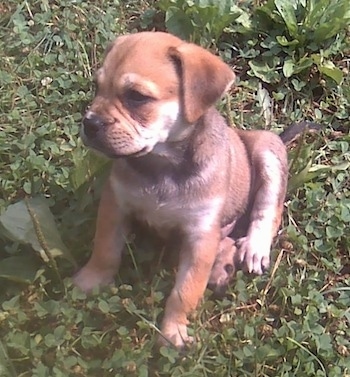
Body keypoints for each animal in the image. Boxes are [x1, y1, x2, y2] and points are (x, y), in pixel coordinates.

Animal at [73, 32, 288, 346]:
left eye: (136, 96)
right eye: (97, 87)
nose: (89, 124)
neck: (162, 164)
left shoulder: (200, 235)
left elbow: (185, 291)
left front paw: (174, 331)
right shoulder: (115, 204)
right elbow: (105, 250)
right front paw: (90, 280)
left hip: (267, 150)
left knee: (268, 210)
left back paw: (254, 248)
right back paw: (222, 265)